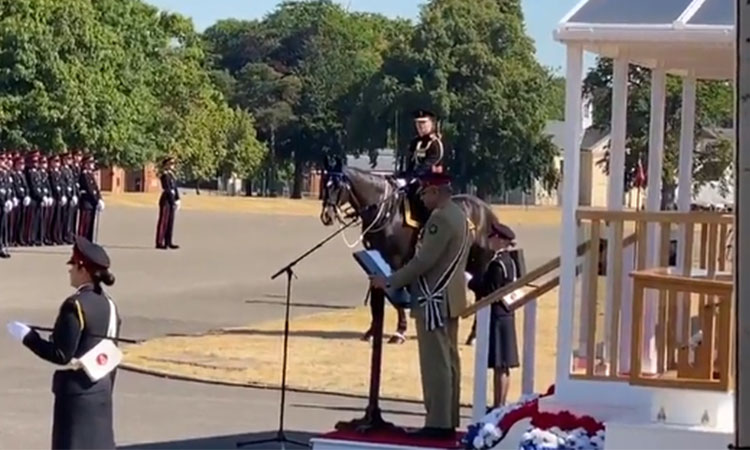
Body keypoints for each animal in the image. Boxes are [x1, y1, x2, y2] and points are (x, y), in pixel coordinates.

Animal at [318, 160, 502, 342]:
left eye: (337, 186)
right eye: (324, 183)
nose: (327, 216)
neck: (387, 212)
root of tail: (487, 210)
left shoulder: (396, 260)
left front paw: (400, 331)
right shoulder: (374, 259)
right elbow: (376, 296)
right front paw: (372, 331)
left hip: (480, 264)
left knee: (482, 294)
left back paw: (473, 335)